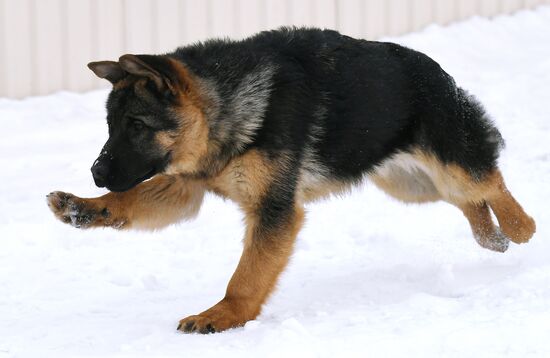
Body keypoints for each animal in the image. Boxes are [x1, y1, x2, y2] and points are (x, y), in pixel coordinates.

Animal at [47, 27, 540, 332]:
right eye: (110, 125)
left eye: (136, 126)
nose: (96, 174)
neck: (227, 103)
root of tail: (438, 72)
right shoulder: (185, 185)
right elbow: (131, 201)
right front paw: (82, 208)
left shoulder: (274, 209)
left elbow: (246, 276)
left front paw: (224, 315)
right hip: (410, 185)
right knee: (467, 199)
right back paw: (490, 236)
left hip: (447, 166)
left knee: (488, 184)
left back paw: (519, 228)